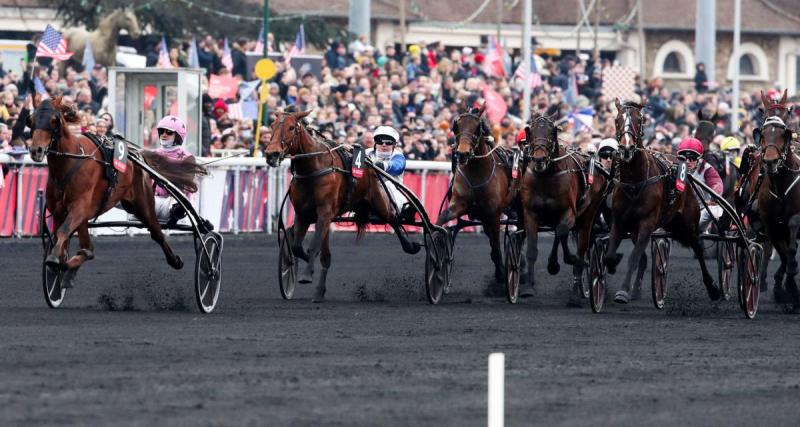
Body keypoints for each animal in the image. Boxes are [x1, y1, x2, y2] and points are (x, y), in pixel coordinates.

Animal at [30, 97, 206, 290]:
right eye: (30, 120)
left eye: (54, 120)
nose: (36, 150)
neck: (72, 161)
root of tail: (137, 155)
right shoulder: (60, 211)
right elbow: (61, 237)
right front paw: (60, 264)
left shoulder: (79, 208)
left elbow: (62, 233)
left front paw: (55, 260)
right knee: (88, 248)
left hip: (143, 204)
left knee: (157, 233)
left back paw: (181, 261)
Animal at [266, 110, 422, 304]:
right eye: (272, 126)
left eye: (291, 127)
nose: (271, 154)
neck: (313, 168)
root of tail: (371, 167)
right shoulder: (303, 214)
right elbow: (297, 246)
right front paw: (296, 263)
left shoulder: (325, 212)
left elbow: (314, 246)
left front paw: (307, 274)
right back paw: (319, 291)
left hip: (380, 203)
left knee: (393, 219)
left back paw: (411, 245)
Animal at [438, 105, 512, 292]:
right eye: (456, 126)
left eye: (477, 127)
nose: (462, 153)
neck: (477, 173)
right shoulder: (459, 205)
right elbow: (442, 218)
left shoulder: (494, 215)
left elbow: (496, 248)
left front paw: (501, 275)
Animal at [520, 113, 604, 304]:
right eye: (531, 131)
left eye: (552, 132)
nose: (539, 159)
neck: (546, 175)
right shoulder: (530, 213)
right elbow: (532, 249)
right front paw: (528, 287)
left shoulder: (569, 212)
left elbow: (563, 231)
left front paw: (568, 260)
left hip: (588, 214)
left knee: (579, 245)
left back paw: (576, 289)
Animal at [604, 100, 720, 304]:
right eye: (617, 120)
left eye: (639, 120)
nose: (626, 149)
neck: (635, 182)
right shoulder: (619, 221)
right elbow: (611, 255)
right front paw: (613, 263)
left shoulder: (647, 222)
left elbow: (633, 258)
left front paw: (623, 291)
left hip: (689, 223)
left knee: (698, 247)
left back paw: (713, 287)